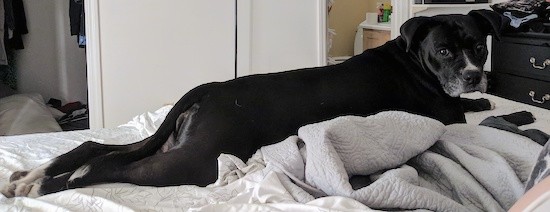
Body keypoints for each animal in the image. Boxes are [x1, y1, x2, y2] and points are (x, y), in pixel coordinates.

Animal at [2, 9, 506, 197]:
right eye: (445, 51)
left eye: (478, 47)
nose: (474, 74)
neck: (411, 57)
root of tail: (207, 88)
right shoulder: (444, 110)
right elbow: (469, 109)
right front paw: (484, 103)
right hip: (195, 160)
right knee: (112, 167)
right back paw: (49, 184)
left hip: (169, 142)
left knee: (95, 149)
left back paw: (34, 176)